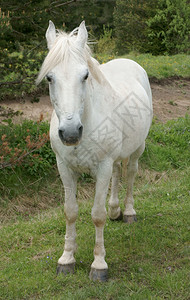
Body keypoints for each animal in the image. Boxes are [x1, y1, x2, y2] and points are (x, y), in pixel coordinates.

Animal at [37, 21, 153, 282]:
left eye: (85, 75)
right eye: (49, 77)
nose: (70, 132)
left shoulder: (102, 167)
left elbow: (97, 215)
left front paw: (99, 265)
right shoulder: (65, 168)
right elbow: (70, 212)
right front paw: (66, 259)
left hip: (137, 148)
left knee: (130, 174)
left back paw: (128, 212)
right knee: (118, 174)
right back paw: (115, 210)